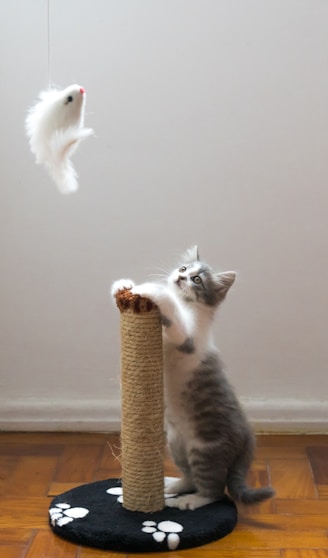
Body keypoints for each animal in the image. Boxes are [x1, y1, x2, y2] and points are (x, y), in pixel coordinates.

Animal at [111, 247, 276, 510]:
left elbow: (171, 310)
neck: (187, 303)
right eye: (183, 269)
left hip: (206, 451)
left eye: (197, 279)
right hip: (176, 444)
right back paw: (174, 484)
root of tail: (247, 438)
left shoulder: (188, 337)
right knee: (190, 477)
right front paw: (124, 285)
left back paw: (190, 501)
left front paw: (153, 290)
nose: (181, 278)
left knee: (214, 491)